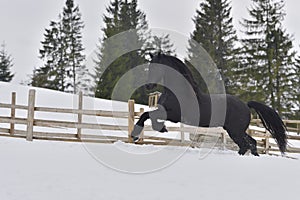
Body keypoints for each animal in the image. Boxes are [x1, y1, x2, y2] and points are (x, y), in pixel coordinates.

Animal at [130, 53, 288, 156]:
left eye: (156, 67)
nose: (148, 86)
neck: (176, 92)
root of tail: (245, 105)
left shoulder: (174, 115)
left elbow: (147, 114)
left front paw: (136, 135)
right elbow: (148, 115)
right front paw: (159, 129)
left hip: (235, 131)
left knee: (247, 144)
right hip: (235, 131)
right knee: (251, 143)